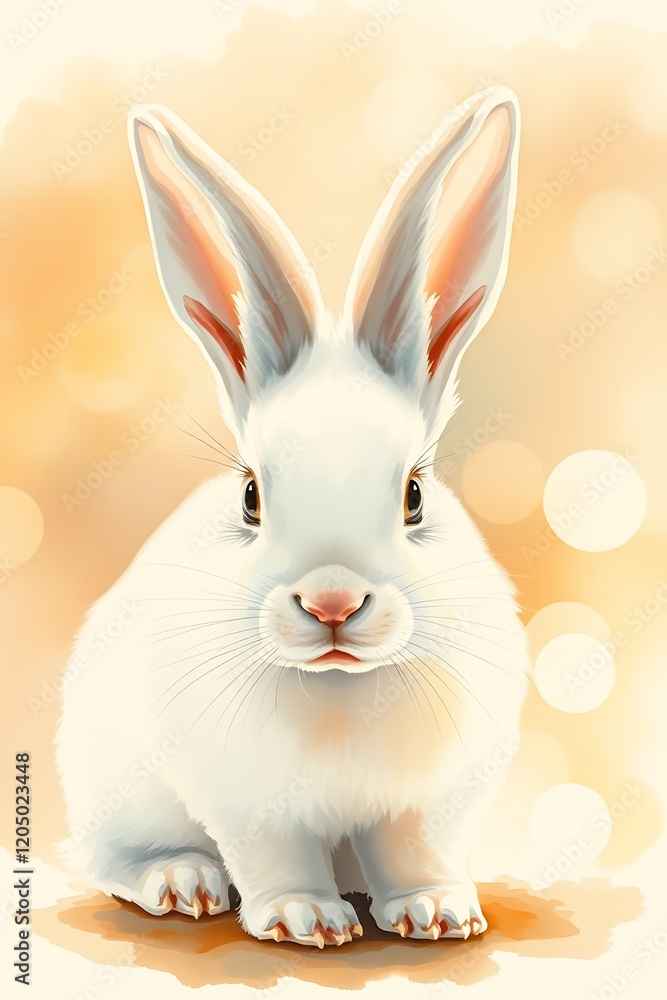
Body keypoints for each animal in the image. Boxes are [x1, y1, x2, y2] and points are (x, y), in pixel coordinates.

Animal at [56, 86, 529, 948]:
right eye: (250, 495)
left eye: (414, 494)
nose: (332, 601)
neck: (337, 687)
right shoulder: (246, 800)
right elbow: (274, 856)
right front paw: (304, 919)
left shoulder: (429, 801)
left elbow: (414, 850)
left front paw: (437, 912)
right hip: (112, 782)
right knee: (112, 858)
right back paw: (180, 881)